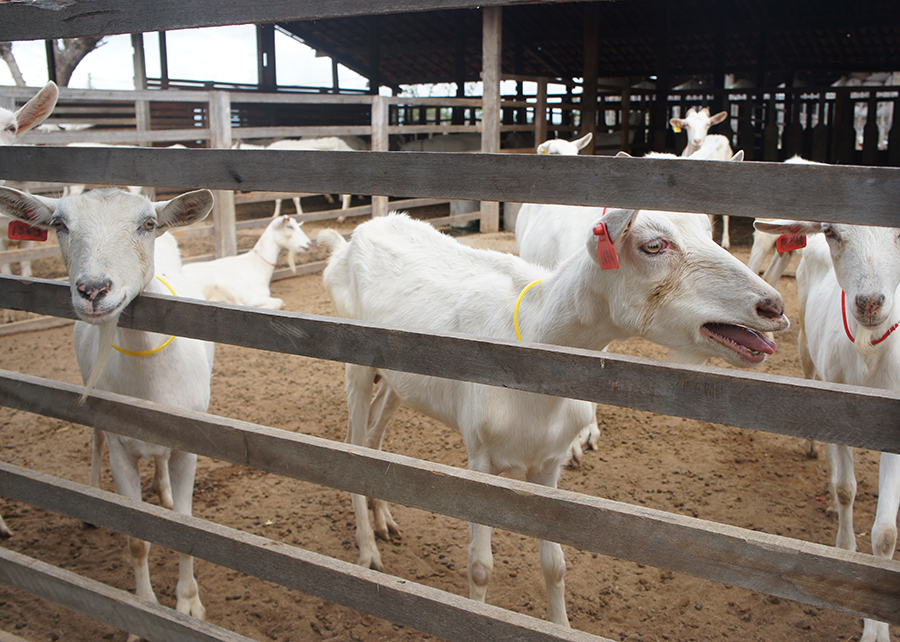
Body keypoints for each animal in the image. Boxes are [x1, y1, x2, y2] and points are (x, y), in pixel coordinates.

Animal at [0, 181, 216, 636]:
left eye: (147, 224)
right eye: (59, 224)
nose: (94, 290)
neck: (149, 384)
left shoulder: (188, 445)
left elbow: (184, 526)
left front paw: (189, 604)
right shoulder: (121, 448)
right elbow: (136, 540)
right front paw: (144, 611)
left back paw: (163, 490)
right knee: (95, 439)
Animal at [181, 214, 312, 308]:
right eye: (289, 226)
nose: (309, 243)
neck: (257, 265)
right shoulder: (254, 297)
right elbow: (279, 302)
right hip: (220, 286)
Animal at [318, 212, 788, 624]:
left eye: (709, 231)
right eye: (654, 245)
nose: (773, 306)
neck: (532, 336)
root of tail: (351, 238)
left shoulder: (549, 462)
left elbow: (556, 565)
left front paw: (561, 625)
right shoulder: (479, 458)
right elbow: (480, 568)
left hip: (398, 377)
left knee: (375, 432)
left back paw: (384, 521)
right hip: (353, 356)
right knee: (353, 442)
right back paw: (368, 552)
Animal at [752, 215, 900, 640]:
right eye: (834, 231)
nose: (869, 302)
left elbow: (885, 533)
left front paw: (877, 628)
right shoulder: (836, 401)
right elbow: (847, 489)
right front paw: (845, 551)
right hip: (806, 345)